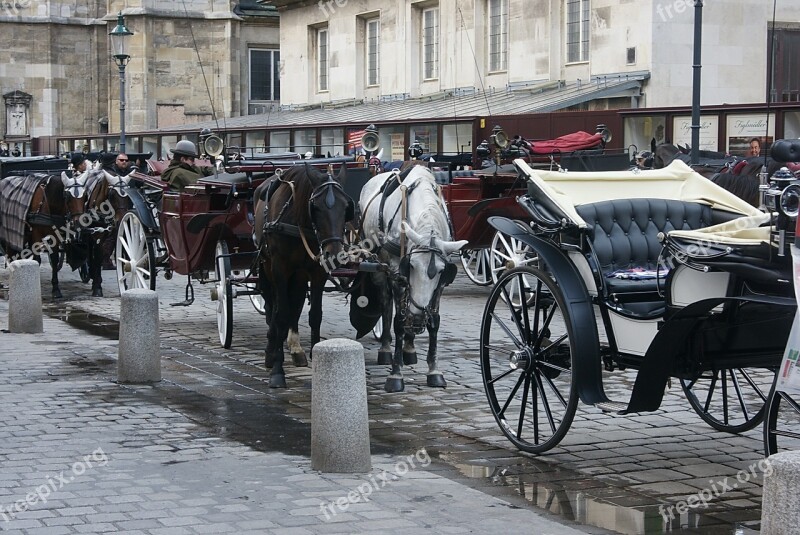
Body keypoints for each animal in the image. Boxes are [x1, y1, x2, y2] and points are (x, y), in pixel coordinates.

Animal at [250, 164, 350, 390]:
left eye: (346, 206)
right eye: (316, 207)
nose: (334, 254)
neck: (299, 223)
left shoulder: (317, 271)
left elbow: (315, 315)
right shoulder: (280, 268)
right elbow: (281, 314)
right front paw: (277, 371)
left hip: (298, 275)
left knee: (294, 303)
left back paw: (295, 350)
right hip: (267, 266)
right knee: (273, 304)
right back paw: (271, 350)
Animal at [358, 165, 466, 392]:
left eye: (442, 271)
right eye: (412, 266)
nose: (418, 318)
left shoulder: (439, 285)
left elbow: (434, 321)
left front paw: (434, 371)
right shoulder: (396, 271)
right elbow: (399, 320)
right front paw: (395, 375)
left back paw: (409, 348)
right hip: (378, 266)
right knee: (386, 303)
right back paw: (386, 349)